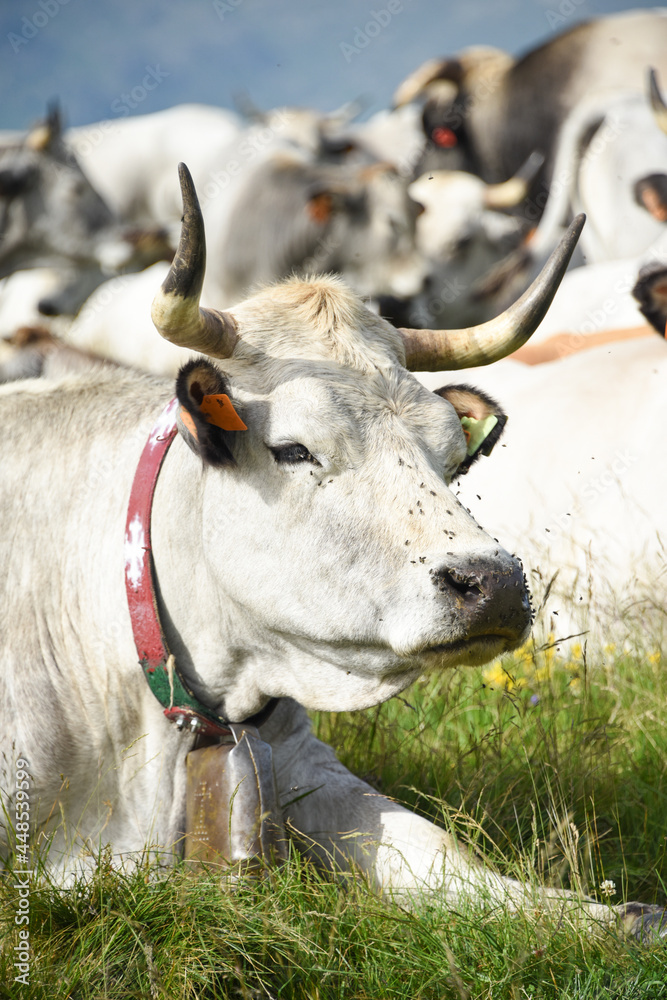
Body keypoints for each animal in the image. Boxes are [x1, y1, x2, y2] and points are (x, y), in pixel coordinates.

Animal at [2, 164, 664, 936]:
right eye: (293, 448)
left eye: (452, 458)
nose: (493, 584)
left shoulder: (304, 766)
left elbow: (441, 851)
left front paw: (609, 920)